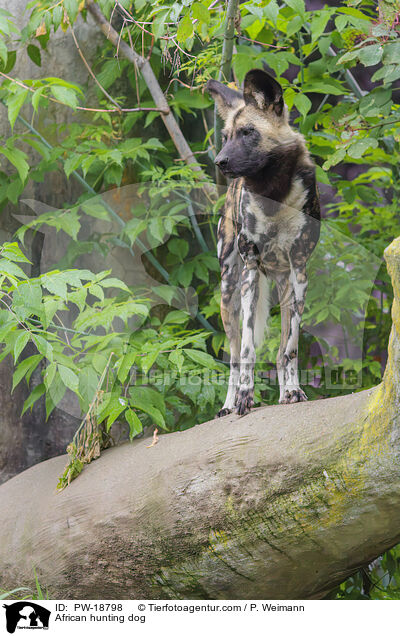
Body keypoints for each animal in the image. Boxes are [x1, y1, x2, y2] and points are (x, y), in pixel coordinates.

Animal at [208, 69, 320, 418]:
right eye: (226, 136)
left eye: (248, 133)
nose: (220, 161)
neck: (273, 193)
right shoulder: (251, 269)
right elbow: (246, 350)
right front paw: (245, 397)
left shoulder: (300, 271)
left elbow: (289, 348)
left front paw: (293, 391)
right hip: (229, 289)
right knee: (233, 355)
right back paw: (229, 405)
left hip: (284, 284)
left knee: (283, 346)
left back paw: (286, 391)